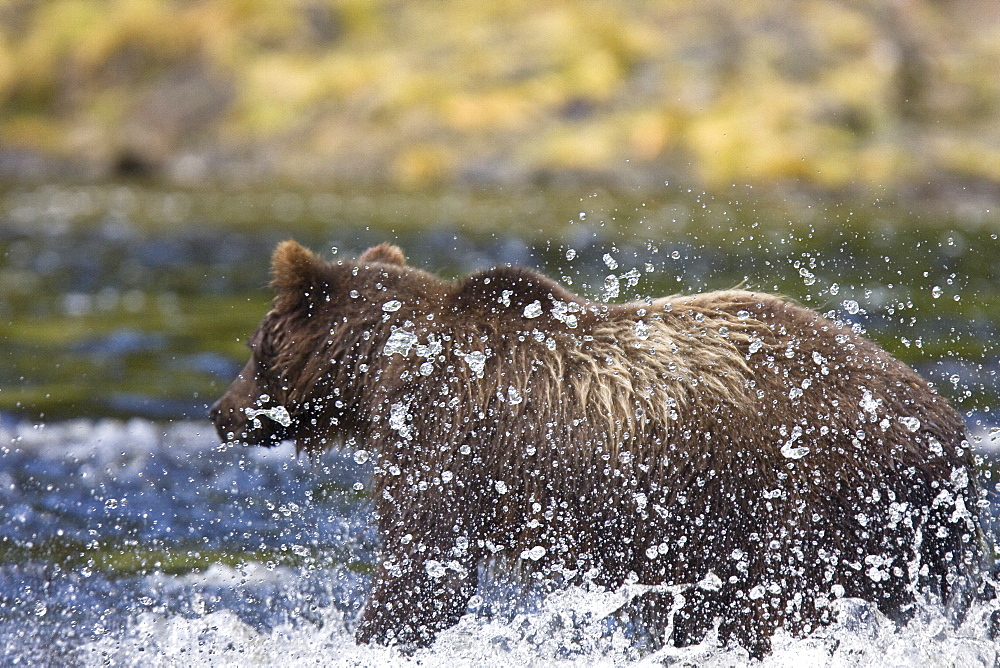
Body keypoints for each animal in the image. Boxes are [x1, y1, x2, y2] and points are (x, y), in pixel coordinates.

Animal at [213, 240, 984, 656]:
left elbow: (423, 569)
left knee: (787, 601)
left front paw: (376, 635)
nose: (221, 413)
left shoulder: (447, 440)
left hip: (815, 490)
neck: (384, 367)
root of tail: (950, 427)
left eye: (253, 344)